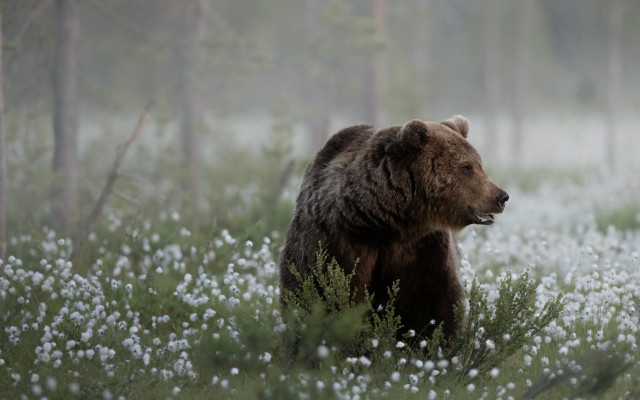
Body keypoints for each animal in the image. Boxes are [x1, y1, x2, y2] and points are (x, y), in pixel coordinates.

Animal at [279, 115, 508, 341]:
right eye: (467, 167)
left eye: (479, 164)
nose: (502, 196)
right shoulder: (339, 241)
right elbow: (327, 293)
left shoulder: (424, 248)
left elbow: (432, 304)